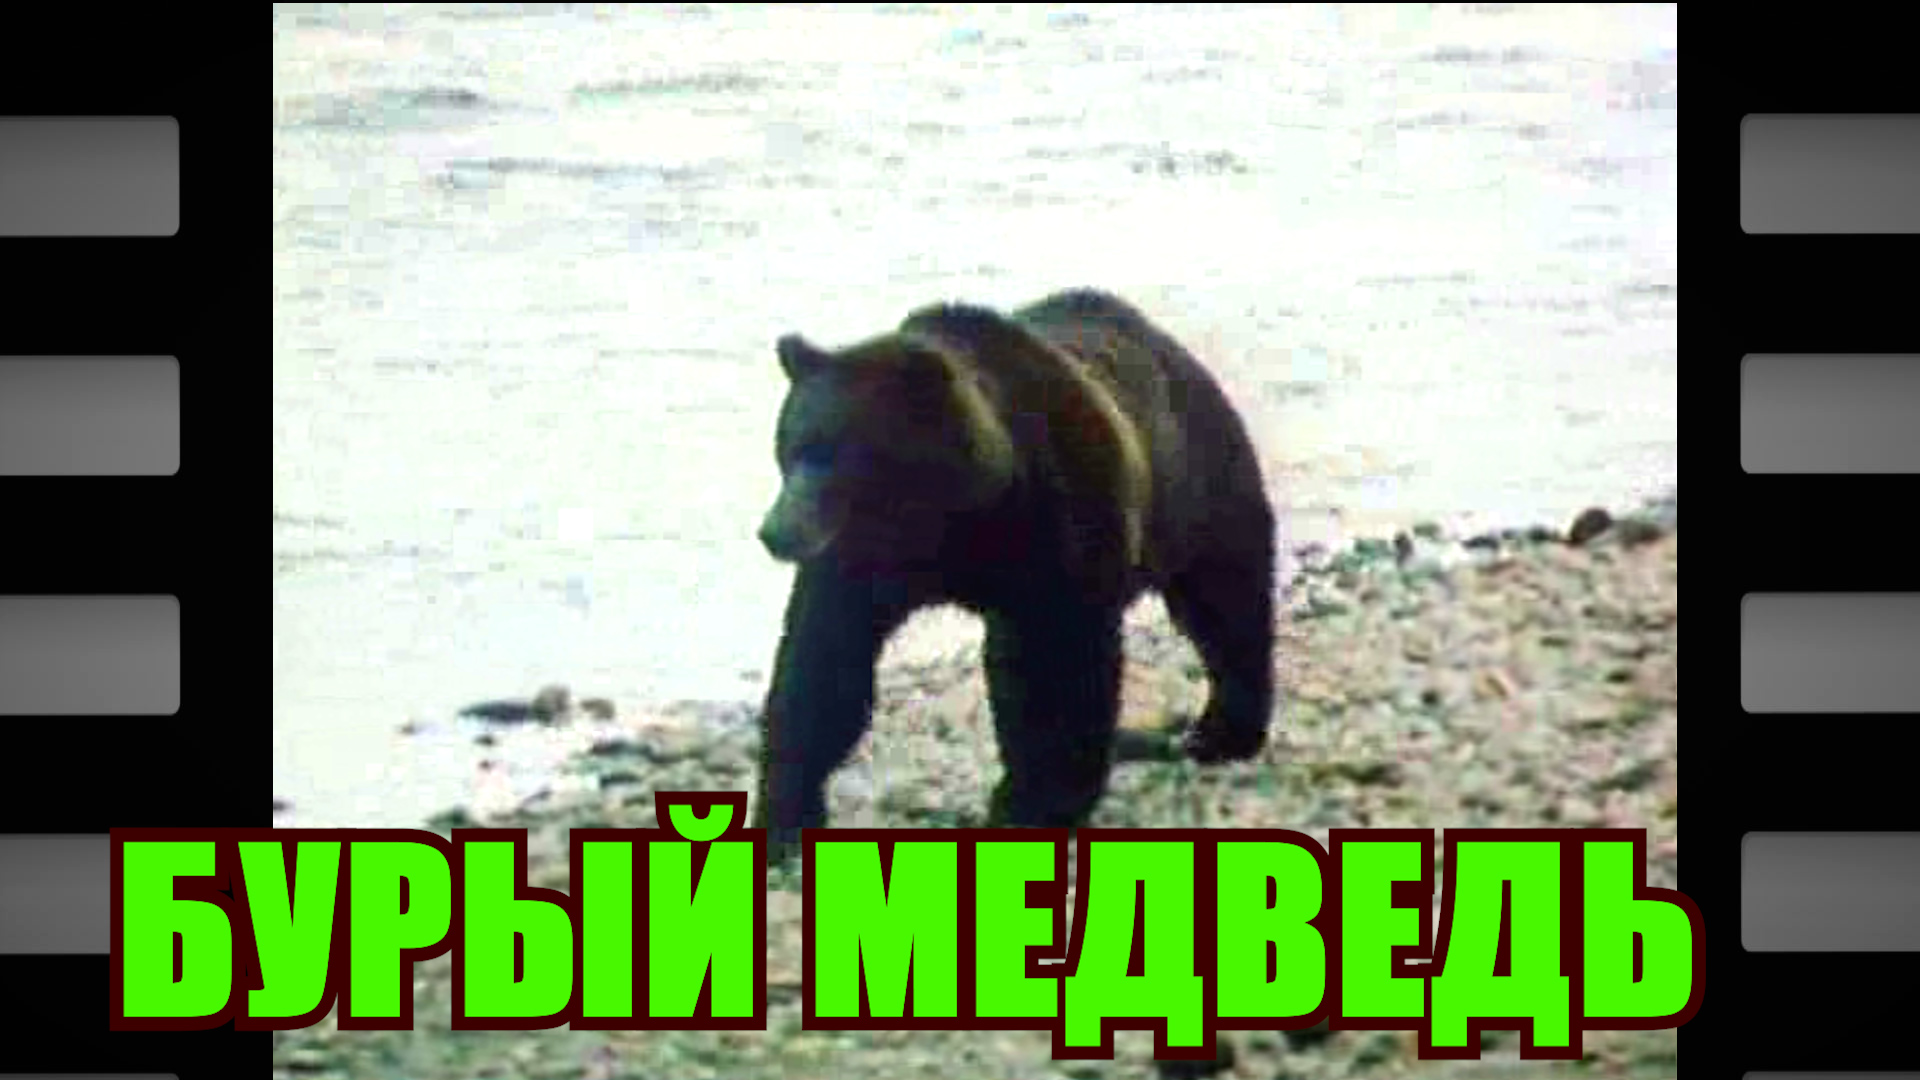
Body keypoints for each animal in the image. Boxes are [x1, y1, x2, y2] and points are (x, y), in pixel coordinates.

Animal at [751, 288, 1276, 846]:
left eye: (835, 453)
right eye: (790, 448)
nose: (774, 531)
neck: (952, 518)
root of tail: (1168, 347)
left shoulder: (1052, 528)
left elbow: (1055, 663)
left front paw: (1034, 803)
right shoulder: (861, 565)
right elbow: (822, 661)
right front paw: (785, 818)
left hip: (1194, 485)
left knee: (1226, 600)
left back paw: (1220, 731)